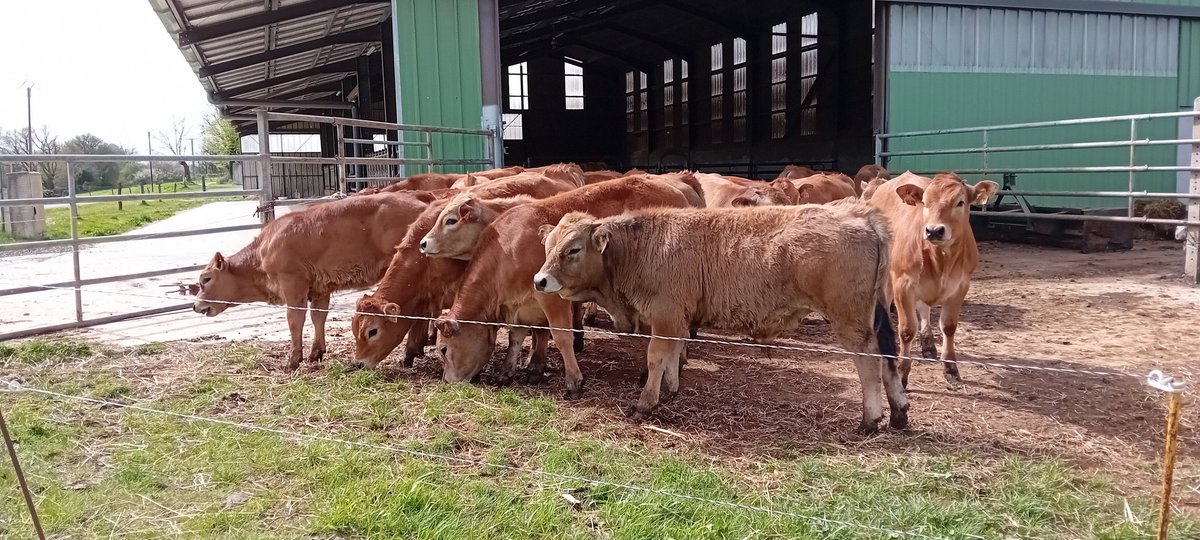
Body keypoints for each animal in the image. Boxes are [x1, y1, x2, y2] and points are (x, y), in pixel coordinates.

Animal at [194, 190, 439, 372]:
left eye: (206, 278)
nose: (196, 305)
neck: (264, 251)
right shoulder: (320, 288)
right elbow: (318, 317)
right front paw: (316, 353)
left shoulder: (293, 284)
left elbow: (295, 320)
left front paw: (293, 360)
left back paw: (412, 350)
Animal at [436, 175, 700, 393]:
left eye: (443, 349)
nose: (448, 382)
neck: (507, 247)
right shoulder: (518, 304)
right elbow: (516, 338)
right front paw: (507, 373)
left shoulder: (551, 296)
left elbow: (561, 336)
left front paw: (573, 381)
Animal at [535, 200, 907, 432]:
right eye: (547, 247)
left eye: (573, 249)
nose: (539, 280)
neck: (638, 249)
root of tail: (860, 212)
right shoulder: (677, 318)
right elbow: (672, 355)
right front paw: (671, 390)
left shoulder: (665, 314)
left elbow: (656, 358)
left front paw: (645, 403)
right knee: (888, 358)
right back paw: (899, 413)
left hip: (850, 320)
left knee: (869, 361)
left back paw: (870, 419)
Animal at [868, 170, 998, 386]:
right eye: (925, 202)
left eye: (960, 202)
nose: (934, 230)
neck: (941, 259)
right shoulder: (903, 284)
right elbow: (907, 330)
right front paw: (902, 372)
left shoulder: (961, 286)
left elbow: (949, 326)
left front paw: (951, 368)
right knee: (885, 303)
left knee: (924, 308)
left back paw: (928, 345)